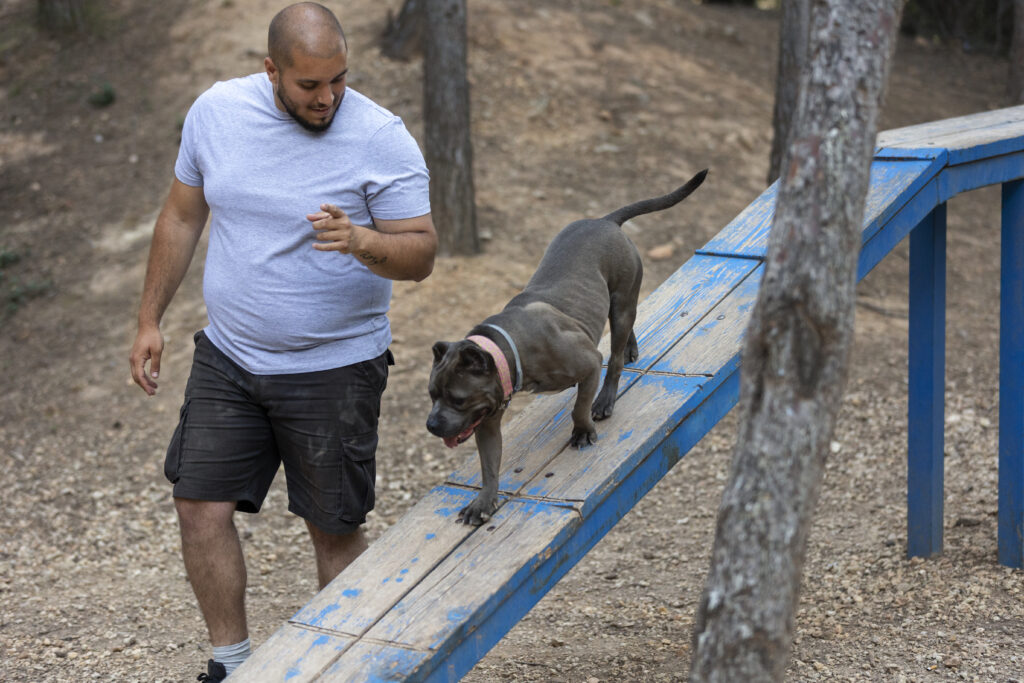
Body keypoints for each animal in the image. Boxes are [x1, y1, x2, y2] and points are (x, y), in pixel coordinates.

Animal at [428, 169, 708, 524]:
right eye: (431, 395)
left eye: (457, 399)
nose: (431, 425)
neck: (510, 349)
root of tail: (606, 220)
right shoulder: (487, 421)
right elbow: (489, 467)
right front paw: (483, 502)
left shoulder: (589, 362)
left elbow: (579, 406)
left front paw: (583, 430)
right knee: (626, 335)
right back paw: (630, 348)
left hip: (620, 303)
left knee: (616, 360)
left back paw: (605, 399)